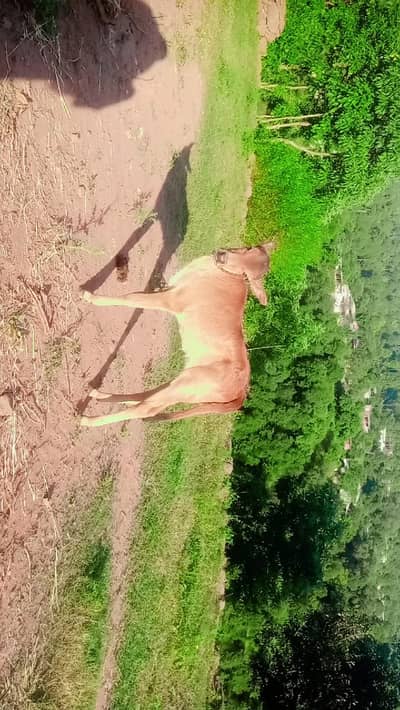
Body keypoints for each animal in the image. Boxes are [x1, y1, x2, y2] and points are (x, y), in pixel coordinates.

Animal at [80, 242, 275, 427]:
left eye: (246, 274)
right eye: (248, 248)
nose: (221, 255)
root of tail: (242, 391)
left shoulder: (170, 300)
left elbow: (130, 298)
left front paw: (90, 296)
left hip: (187, 384)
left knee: (147, 408)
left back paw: (88, 420)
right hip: (185, 383)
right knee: (149, 396)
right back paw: (99, 394)